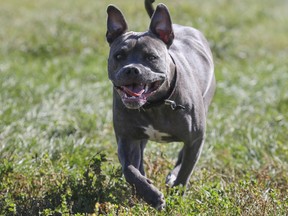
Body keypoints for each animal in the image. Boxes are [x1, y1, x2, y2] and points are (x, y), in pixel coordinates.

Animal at [104, 0, 215, 209]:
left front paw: (176, 196)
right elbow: (129, 170)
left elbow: (185, 172)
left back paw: (171, 178)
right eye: (119, 56)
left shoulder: (195, 139)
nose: (132, 69)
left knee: (181, 159)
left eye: (151, 57)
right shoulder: (127, 139)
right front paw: (151, 195)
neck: (154, 105)